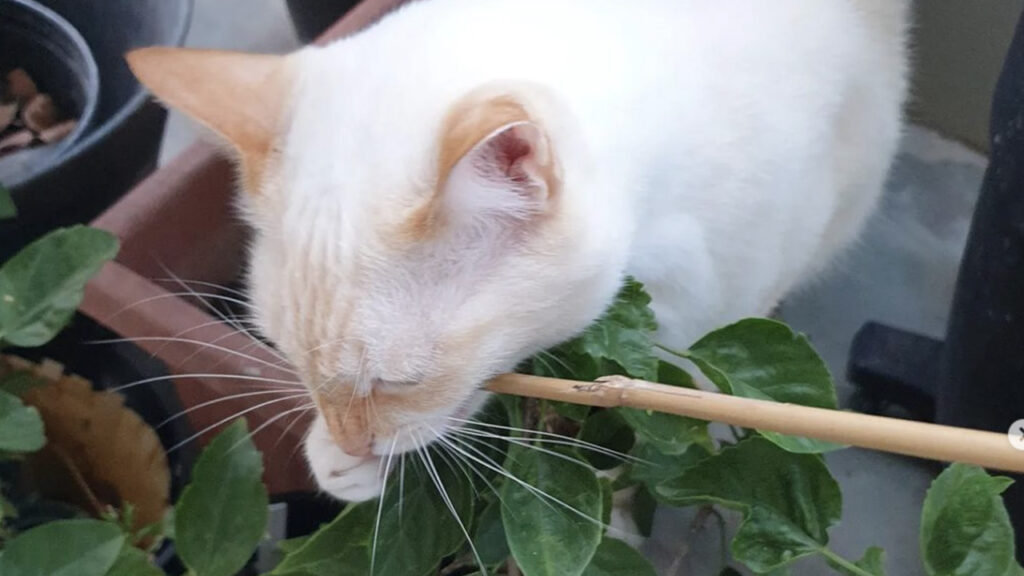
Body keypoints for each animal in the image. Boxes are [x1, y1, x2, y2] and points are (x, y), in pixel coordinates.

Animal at [130, 0, 913, 502]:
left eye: (398, 381)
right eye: (288, 359)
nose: (352, 444)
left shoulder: (711, 304)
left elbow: (679, 404)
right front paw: (337, 460)